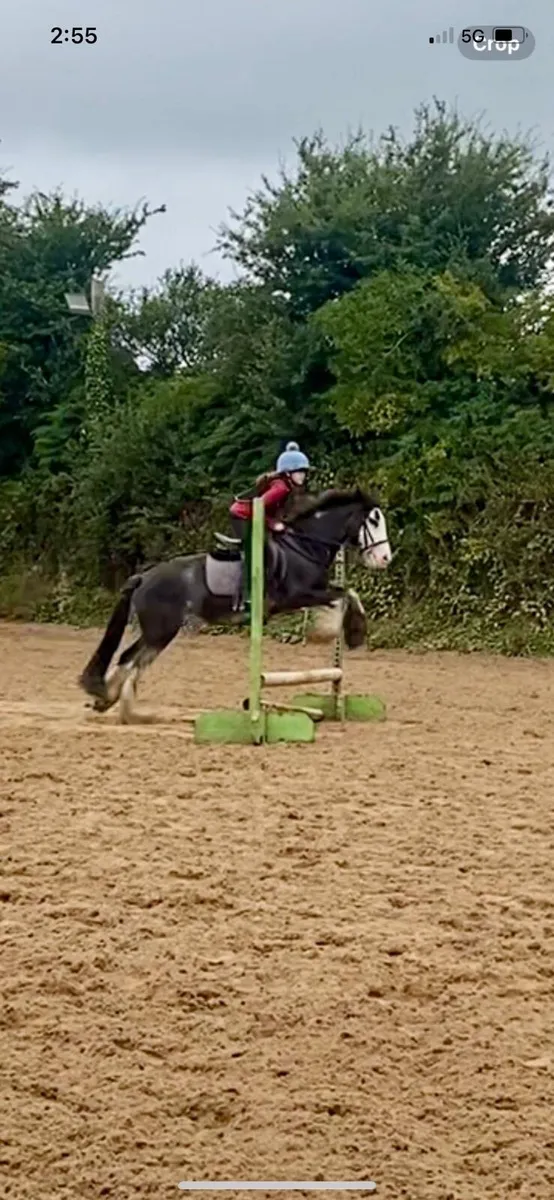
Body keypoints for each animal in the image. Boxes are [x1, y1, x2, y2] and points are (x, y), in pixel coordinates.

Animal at [78, 487, 392, 723]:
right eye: (374, 521)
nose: (385, 559)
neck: (304, 546)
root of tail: (143, 577)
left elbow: (345, 594)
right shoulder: (298, 594)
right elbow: (344, 595)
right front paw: (348, 632)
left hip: (158, 631)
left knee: (132, 658)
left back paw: (110, 701)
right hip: (161, 630)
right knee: (132, 659)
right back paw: (116, 703)